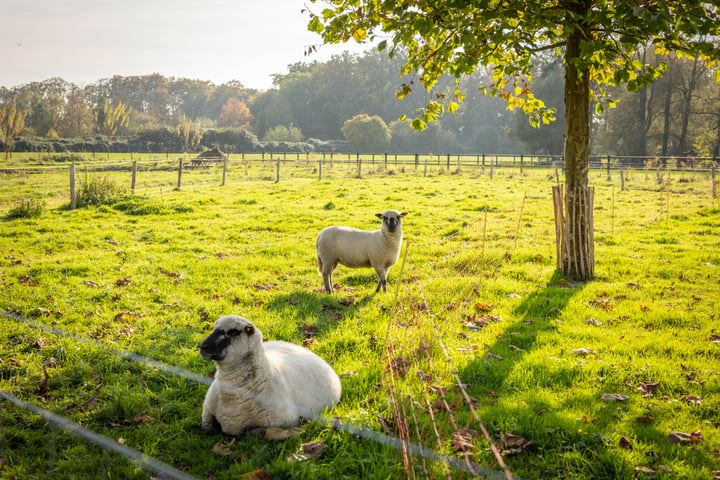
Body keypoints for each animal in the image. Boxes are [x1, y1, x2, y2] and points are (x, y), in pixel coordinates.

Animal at [198, 316, 342, 436]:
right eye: (214, 328)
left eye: (233, 332)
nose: (203, 346)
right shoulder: (206, 413)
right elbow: (207, 426)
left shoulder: (281, 422)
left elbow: (252, 432)